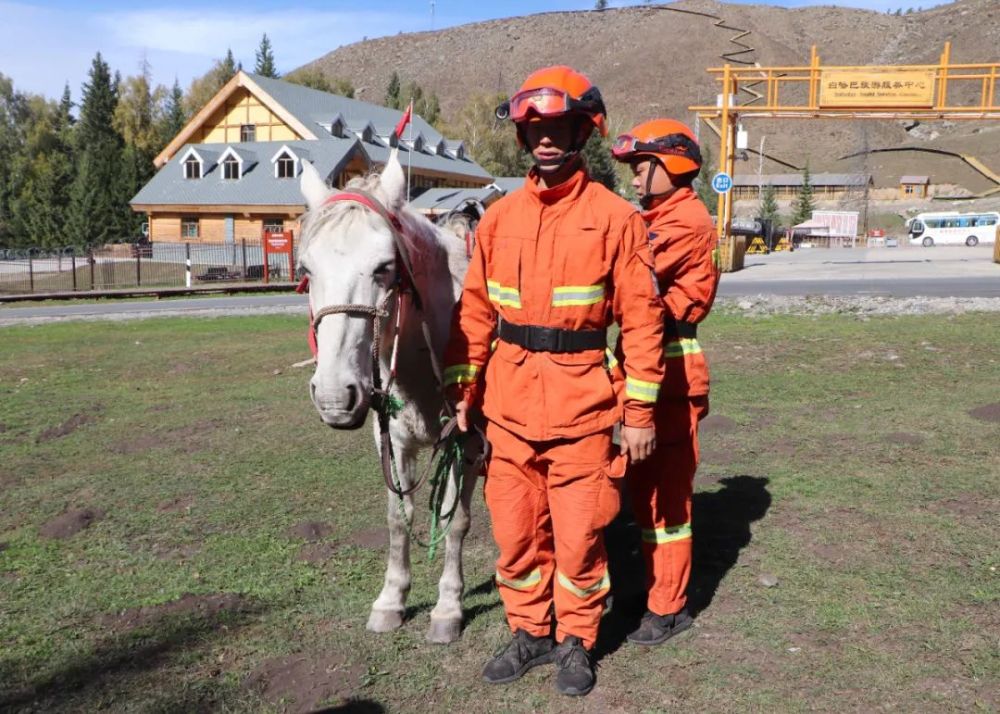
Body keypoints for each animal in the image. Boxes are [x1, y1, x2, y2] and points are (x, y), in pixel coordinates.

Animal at [296, 153, 480, 644]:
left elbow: (456, 520)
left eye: (383, 267)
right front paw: (391, 599)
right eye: (306, 271)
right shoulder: (392, 441)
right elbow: (399, 516)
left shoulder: (468, 444)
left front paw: (448, 608)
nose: (334, 396)